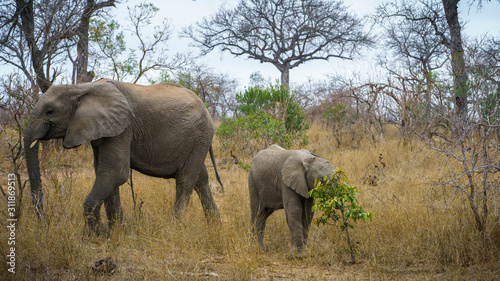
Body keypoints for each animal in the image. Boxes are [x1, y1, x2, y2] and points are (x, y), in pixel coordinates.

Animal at [24, 79, 224, 234]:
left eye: (50, 111)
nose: (43, 222)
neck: (81, 87)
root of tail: (205, 107)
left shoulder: (123, 127)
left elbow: (115, 173)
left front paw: (96, 234)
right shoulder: (104, 128)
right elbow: (104, 173)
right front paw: (116, 231)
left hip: (200, 135)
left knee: (185, 179)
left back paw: (175, 228)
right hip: (197, 140)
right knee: (200, 179)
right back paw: (215, 226)